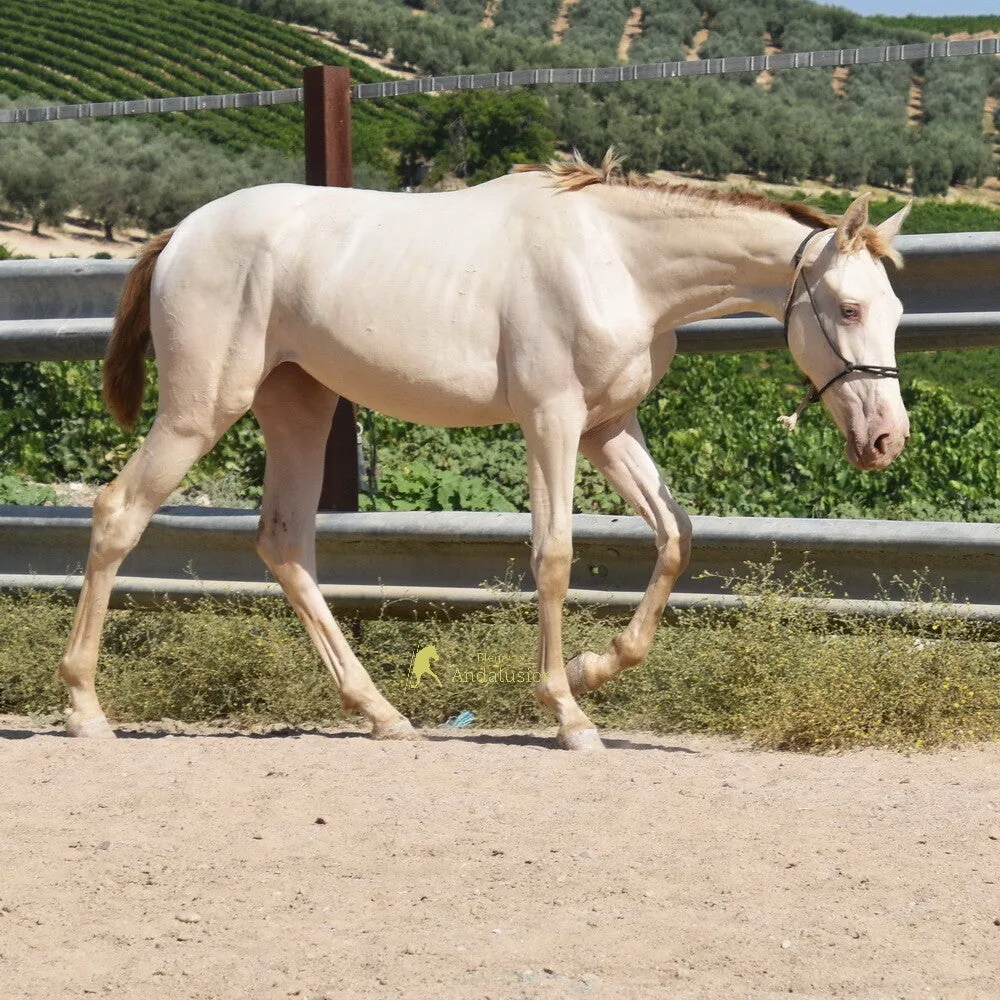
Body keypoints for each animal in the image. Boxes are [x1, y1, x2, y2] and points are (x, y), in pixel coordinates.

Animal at [58, 151, 911, 751]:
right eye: (848, 306)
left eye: (898, 310)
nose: (885, 438)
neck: (619, 262)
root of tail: (182, 234)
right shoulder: (552, 421)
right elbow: (554, 556)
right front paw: (567, 712)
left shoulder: (609, 426)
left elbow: (675, 537)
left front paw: (594, 667)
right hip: (201, 410)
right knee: (118, 512)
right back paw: (84, 708)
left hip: (298, 405)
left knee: (284, 542)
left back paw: (381, 712)